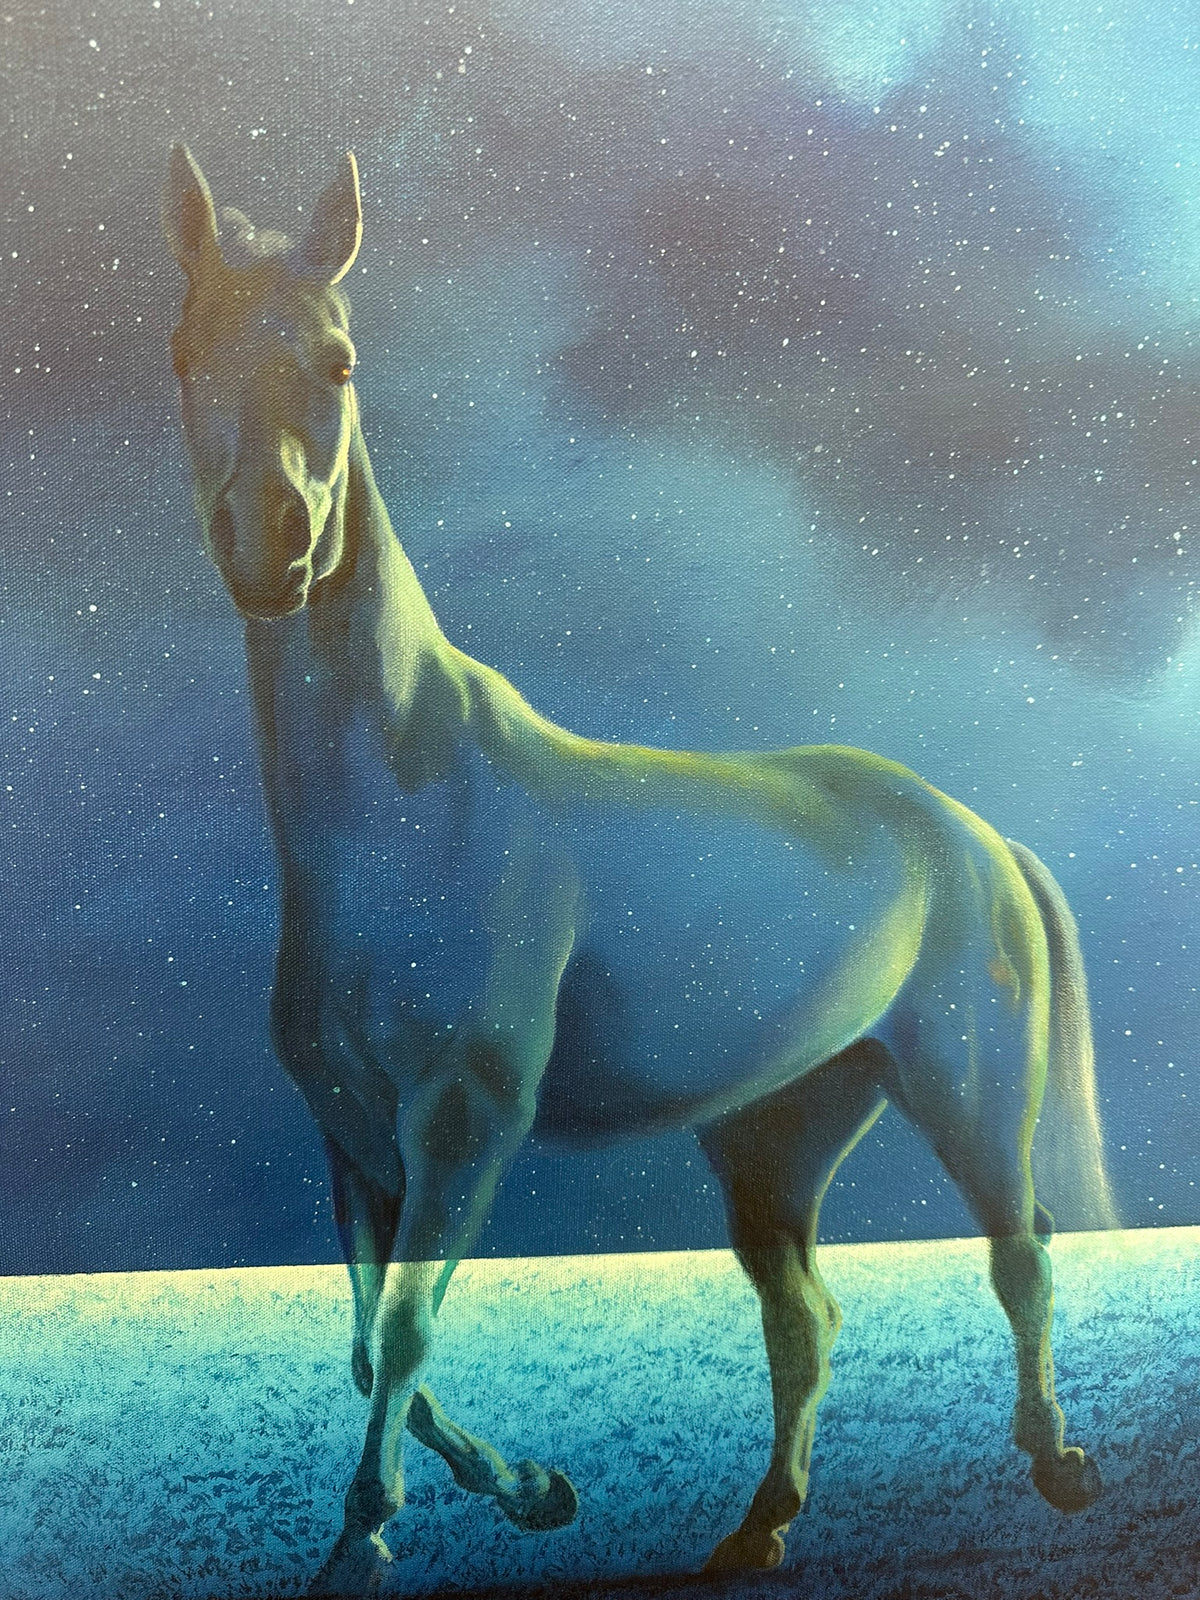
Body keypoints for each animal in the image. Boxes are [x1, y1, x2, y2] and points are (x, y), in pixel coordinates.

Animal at [163, 145, 1112, 1594]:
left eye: (339, 361)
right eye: (181, 354)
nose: (272, 545)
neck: (410, 804)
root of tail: (970, 828)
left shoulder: (464, 1123)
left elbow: (406, 1333)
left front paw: (367, 1541)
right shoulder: (355, 1138)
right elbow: (371, 1344)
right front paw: (533, 1491)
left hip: (968, 1087)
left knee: (1022, 1256)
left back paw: (1059, 1466)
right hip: (777, 1135)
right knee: (806, 1318)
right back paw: (759, 1527)